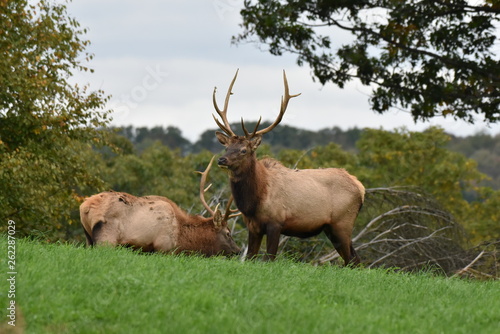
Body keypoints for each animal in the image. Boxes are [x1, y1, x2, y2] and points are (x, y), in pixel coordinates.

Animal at [79, 158, 240, 258]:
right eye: (228, 233)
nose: (238, 251)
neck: (182, 235)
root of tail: (85, 207)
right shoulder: (164, 247)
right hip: (106, 237)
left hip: (88, 238)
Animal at [211, 70, 364, 266]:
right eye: (226, 147)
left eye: (244, 150)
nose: (222, 159)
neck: (254, 201)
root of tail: (360, 187)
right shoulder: (253, 226)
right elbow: (251, 257)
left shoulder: (276, 222)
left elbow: (269, 259)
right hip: (331, 228)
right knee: (354, 259)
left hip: (343, 222)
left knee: (352, 260)